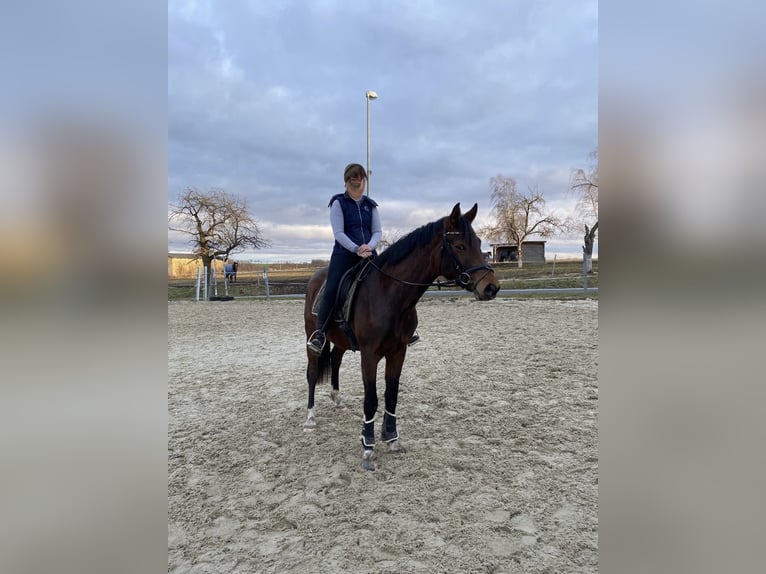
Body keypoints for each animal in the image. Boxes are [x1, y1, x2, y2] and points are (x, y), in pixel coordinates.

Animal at [303, 202, 500, 470]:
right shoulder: (370, 356)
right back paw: (310, 417)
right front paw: (368, 447)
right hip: (311, 337)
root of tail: (316, 277)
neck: (389, 295)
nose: (491, 287)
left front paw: (391, 438)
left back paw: (337, 398)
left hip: (341, 341)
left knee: (335, 360)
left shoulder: (398, 352)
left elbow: (391, 395)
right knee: (313, 372)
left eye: (479, 243)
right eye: (460, 246)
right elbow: (371, 400)